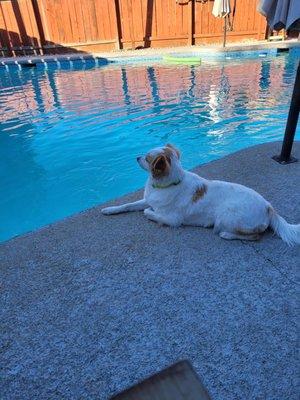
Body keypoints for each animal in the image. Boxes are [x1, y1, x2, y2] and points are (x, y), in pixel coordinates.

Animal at [101, 142, 300, 245]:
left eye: (147, 158)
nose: (136, 157)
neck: (164, 185)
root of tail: (268, 207)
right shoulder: (147, 199)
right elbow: (128, 205)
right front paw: (110, 210)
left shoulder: (173, 220)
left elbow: (148, 212)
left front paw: (149, 213)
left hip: (225, 217)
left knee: (255, 236)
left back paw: (227, 235)